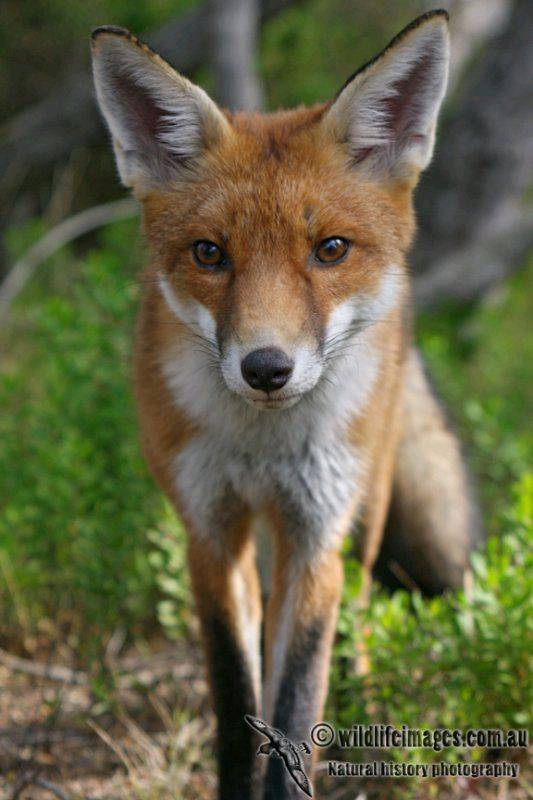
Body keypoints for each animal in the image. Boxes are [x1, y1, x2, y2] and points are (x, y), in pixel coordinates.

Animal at [91, 10, 482, 799]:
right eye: (209, 253)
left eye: (329, 249)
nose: (266, 369)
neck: (260, 445)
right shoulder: (209, 532)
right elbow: (237, 699)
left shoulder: (314, 534)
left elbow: (296, 701)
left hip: (366, 496)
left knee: (356, 609)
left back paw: (365, 707)